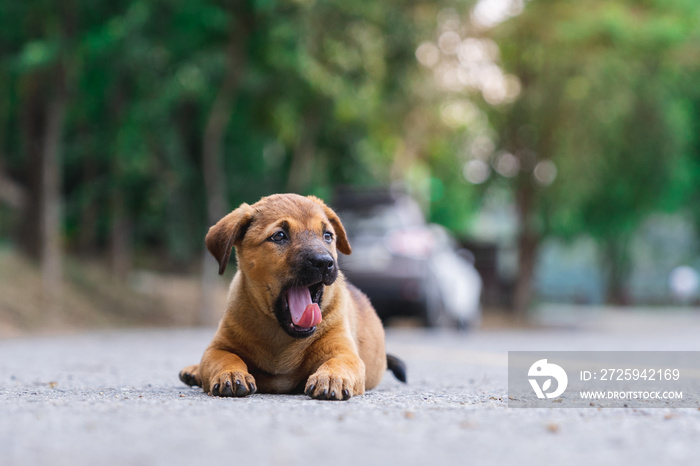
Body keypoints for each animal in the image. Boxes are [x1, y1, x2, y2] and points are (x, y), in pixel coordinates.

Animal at [179, 193, 404, 400]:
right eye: (279, 236)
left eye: (328, 236)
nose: (325, 262)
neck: (281, 335)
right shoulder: (218, 348)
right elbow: (225, 358)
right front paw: (232, 373)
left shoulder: (345, 351)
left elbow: (339, 361)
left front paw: (332, 377)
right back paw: (194, 371)